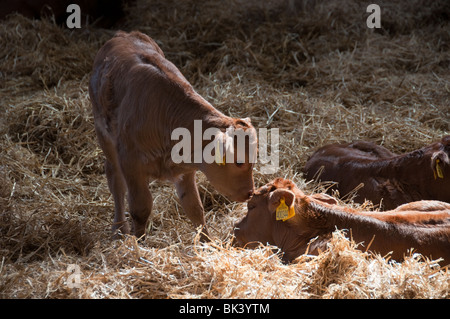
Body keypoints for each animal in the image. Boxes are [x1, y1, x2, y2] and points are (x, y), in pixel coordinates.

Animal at [89, 31, 256, 240]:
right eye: (239, 162)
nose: (250, 193)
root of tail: (124, 35)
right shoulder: (130, 163)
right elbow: (140, 208)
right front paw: (138, 242)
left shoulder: (186, 170)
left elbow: (194, 207)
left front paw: (207, 241)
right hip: (105, 138)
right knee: (116, 183)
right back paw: (119, 230)